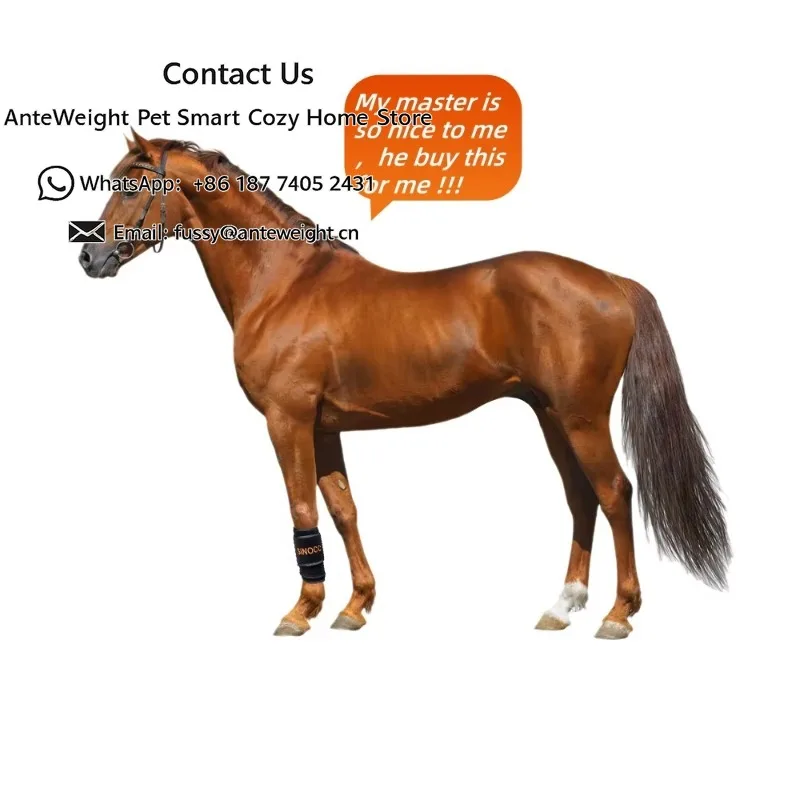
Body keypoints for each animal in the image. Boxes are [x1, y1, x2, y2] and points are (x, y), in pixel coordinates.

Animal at [78, 132, 730, 639]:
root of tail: (612, 281)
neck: (283, 282)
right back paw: (561, 607)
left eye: (131, 186)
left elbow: (301, 506)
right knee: (580, 496)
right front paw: (353, 606)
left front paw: (300, 611)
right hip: (551, 415)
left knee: (615, 492)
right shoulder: (324, 427)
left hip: (581, 416)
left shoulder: (287, 419)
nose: (90, 257)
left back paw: (618, 614)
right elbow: (343, 510)